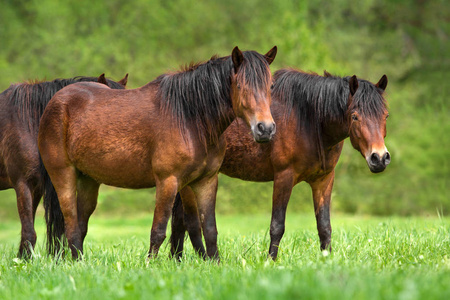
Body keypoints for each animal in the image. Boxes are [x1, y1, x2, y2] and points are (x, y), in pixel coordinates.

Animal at [38, 47, 278, 260]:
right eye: (239, 85)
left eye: (271, 85)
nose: (265, 128)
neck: (190, 118)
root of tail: (56, 100)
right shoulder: (168, 181)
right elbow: (159, 230)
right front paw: (150, 265)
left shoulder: (206, 181)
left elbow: (209, 229)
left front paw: (215, 263)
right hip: (63, 175)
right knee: (70, 223)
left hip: (88, 180)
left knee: (80, 224)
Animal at [171, 69, 388, 260]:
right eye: (355, 116)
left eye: (385, 115)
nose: (379, 157)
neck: (308, 121)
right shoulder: (284, 176)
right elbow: (277, 225)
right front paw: (271, 261)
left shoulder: (324, 180)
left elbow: (324, 226)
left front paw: (327, 259)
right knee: (190, 222)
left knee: (179, 220)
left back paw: (176, 259)